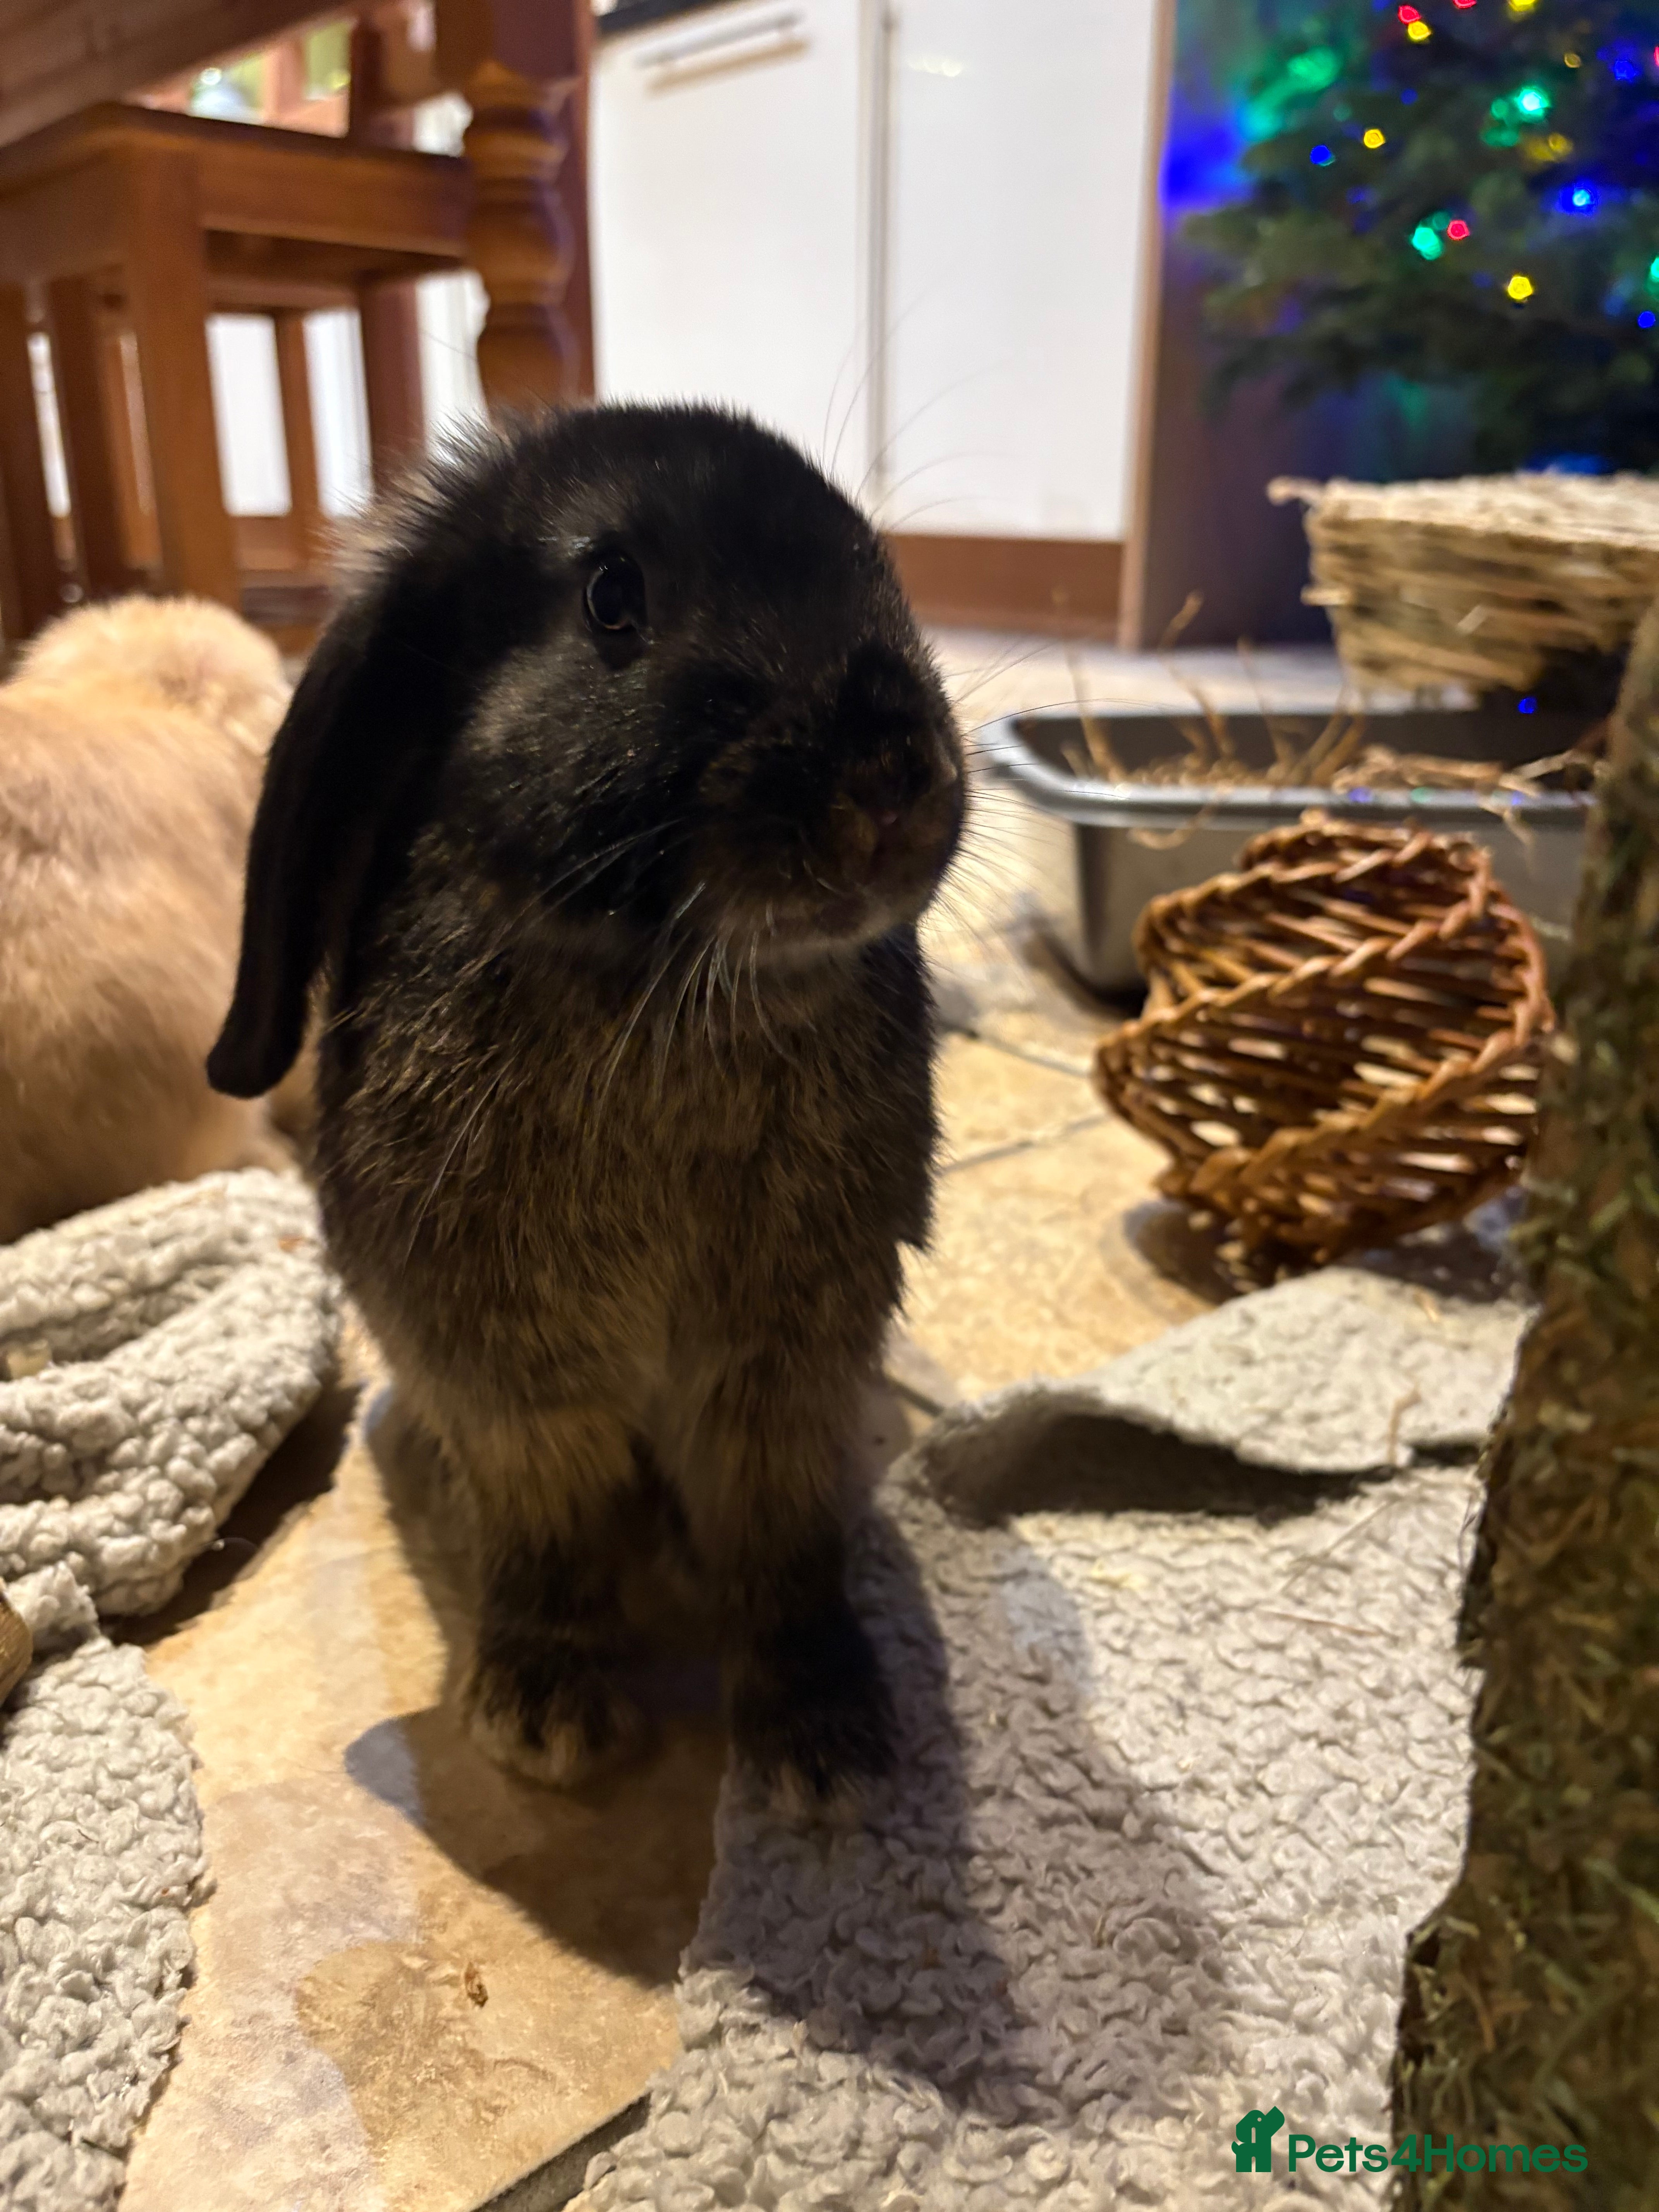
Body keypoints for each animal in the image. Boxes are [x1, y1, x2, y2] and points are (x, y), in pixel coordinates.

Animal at [208, 403, 966, 1810]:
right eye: (613, 598)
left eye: (873, 564)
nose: (889, 780)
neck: (670, 983)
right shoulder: (514, 1384)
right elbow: (547, 1528)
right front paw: (545, 1720)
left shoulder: (779, 1376)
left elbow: (777, 1540)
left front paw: (826, 1744)